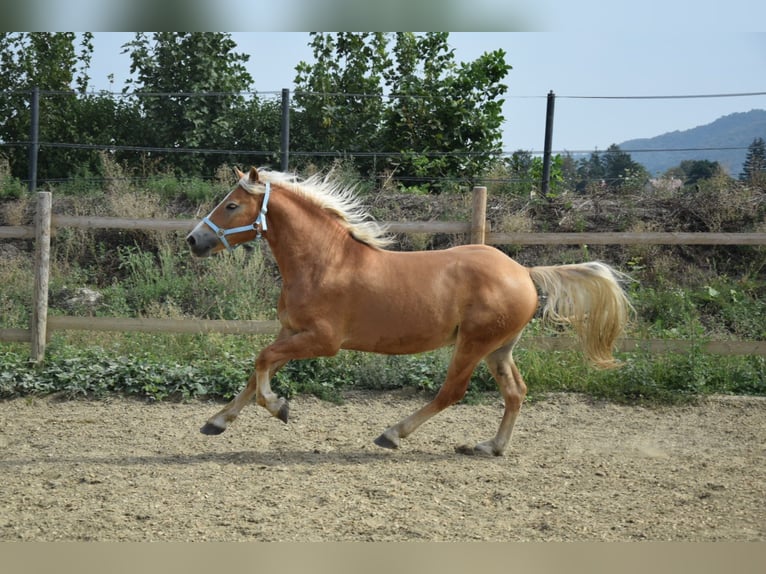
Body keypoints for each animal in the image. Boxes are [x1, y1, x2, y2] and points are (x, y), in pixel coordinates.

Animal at [188, 168, 636, 460]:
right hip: (498, 348)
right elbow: (256, 370)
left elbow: (261, 362)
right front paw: (216, 422)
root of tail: (524, 272)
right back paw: (490, 446)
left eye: (231, 205)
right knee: (515, 392)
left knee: (452, 392)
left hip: (473, 344)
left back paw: (392, 434)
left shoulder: (322, 341)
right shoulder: (291, 333)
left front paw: (279, 408)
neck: (325, 262)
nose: (194, 240)